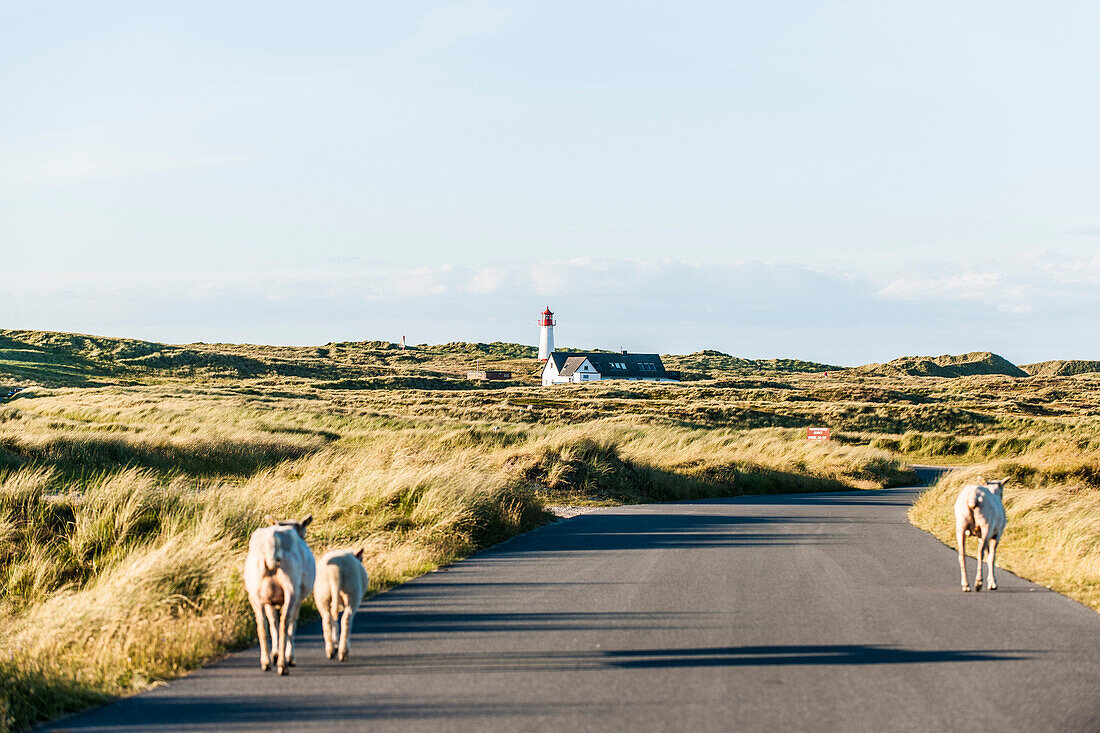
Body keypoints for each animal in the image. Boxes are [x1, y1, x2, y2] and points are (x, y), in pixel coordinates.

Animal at [246, 510, 319, 669]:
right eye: (304, 533)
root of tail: (271, 546)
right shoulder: (298, 598)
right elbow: (292, 622)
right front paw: (285, 656)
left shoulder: (268, 599)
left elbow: (272, 622)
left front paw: (274, 653)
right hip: (291, 589)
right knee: (285, 622)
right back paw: (284, 663)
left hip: (255, 592)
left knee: (262, 625)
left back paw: (266, 662)